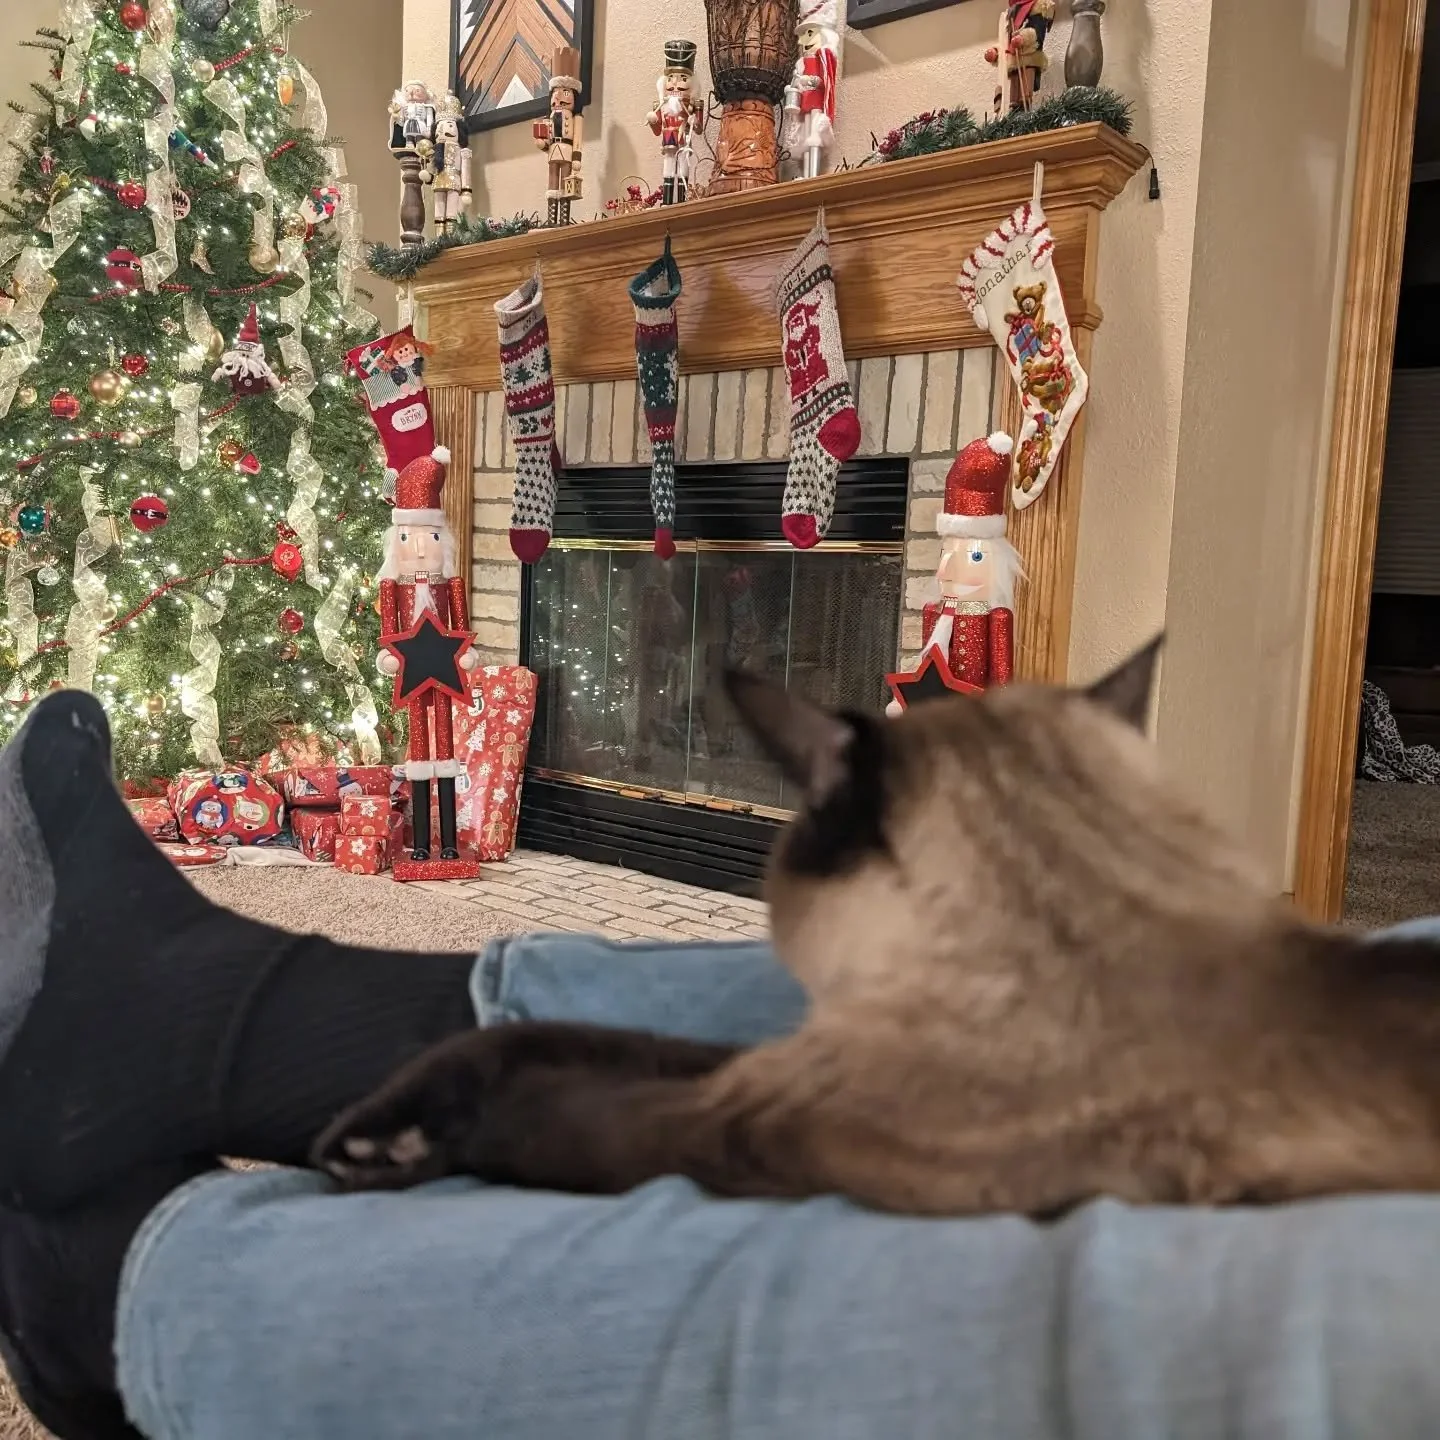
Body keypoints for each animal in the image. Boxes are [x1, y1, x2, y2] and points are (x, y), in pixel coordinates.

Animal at [312, 639, 1440, 1216]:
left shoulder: (734, 1128)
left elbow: (544, 1109)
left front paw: (391, 1153)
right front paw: (377, 1123)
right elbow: (535, 1038)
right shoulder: (757, 1066)